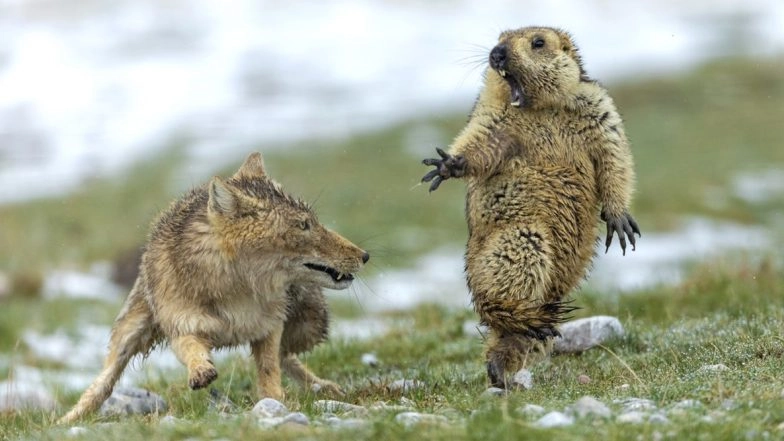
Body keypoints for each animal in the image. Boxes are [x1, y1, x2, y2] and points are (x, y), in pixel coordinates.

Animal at [59, 152, 369, 423]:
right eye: (303, 226)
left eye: (313, 222)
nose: (365, 255)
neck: (236, 292)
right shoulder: (183, 326)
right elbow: (192, 349)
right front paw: (201, 371)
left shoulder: (269, 326)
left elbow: (269, 368)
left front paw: (275, 401)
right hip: (129, 333)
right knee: (102, 383)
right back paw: (67, 419)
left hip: (310, 325)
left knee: (287, 356)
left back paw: (323, 387)